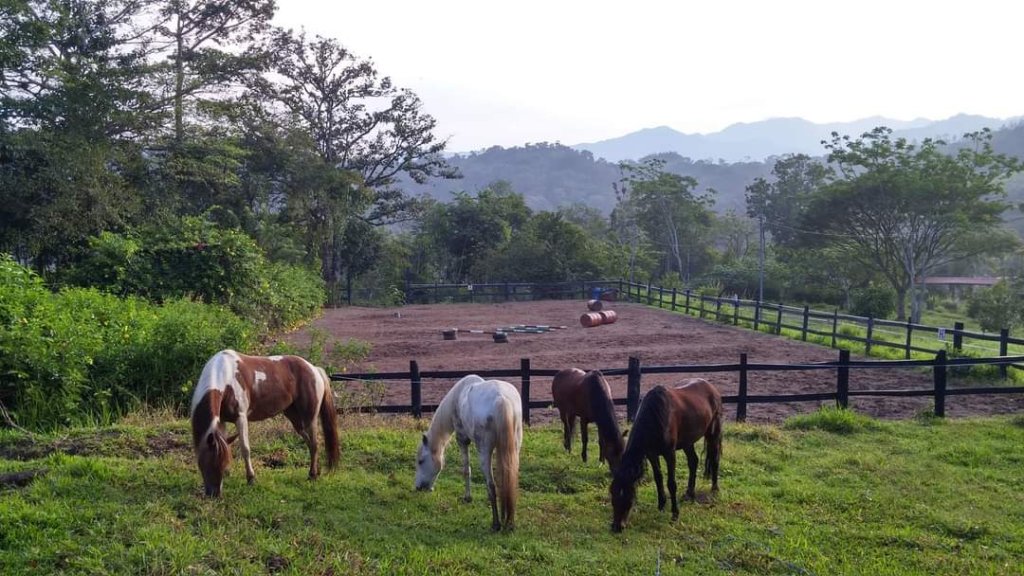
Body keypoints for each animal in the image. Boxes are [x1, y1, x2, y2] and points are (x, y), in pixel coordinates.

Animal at [188, 348, 339, 496]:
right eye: (205, 462)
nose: (214, 494)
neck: (226, 377)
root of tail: (314, 369)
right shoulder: (221, 421)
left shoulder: (241, 418)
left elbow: (245, 449)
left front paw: (251, 479)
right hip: (295, 419)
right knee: (309, 443)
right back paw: (317, 472)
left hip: (309, 418)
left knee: (314, 444)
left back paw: (312, 475)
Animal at [413, 373, 524, 528]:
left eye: (421, 461)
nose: (418, 487)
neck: (459, 395)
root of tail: (501, 399)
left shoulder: (462, 440)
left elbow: (466, 470)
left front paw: (467, 497)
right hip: (515, 448)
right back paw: (509, 522)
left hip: (484, 452)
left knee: (491, 485)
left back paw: (496, 524)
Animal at [606, 379, 720, 532]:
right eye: (612, 492)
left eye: (630, 496)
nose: (617, 527)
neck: (656, 416)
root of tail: (711, 387)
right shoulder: (651, 454)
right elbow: (658, 478)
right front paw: (661, 504)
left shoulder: (669, 453)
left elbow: (671, 483)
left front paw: (675, 514)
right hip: (687, 442)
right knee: (693, 462)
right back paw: (689, 493)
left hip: (713, 433)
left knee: (715, 459)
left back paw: (714, 489)